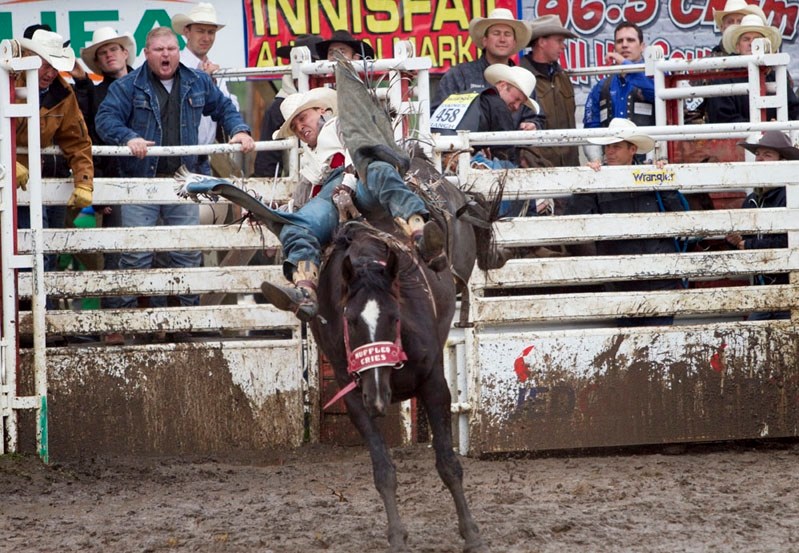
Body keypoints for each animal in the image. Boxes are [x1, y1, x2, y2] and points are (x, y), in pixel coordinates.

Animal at [312, 221, 488, 552]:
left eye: (394, 316)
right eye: (350, 320)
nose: (379, 397)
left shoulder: (435, 386)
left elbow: (448, 464)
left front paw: (472, 535)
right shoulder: (355, 399)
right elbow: (383, 471)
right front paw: (396, 537)